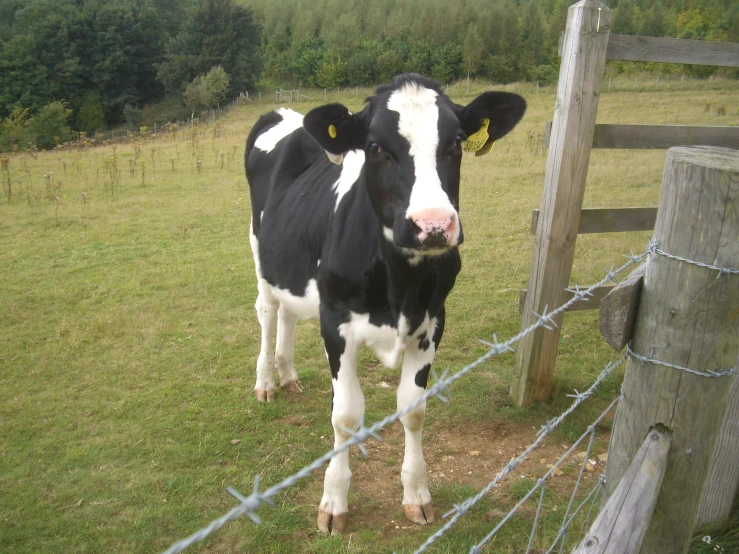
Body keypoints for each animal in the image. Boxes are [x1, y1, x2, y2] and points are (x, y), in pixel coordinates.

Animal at [246, 73, 524, 532]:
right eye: (375, 146)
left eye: (456, 141)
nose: (433, 225)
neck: (400, 287)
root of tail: (284, 114)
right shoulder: (335, 321)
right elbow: (345, 417)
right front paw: (333, 504)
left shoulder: (433, 321)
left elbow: (413, 409)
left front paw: (417, 494)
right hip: (261, 257)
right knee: (268, 312)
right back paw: (266, 382)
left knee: (288, 313)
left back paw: (288, 376)